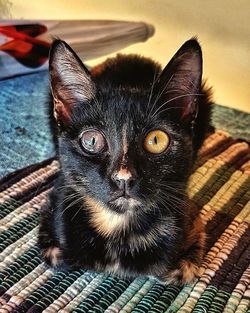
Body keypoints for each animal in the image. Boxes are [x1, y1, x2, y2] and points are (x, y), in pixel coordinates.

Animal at [38, 37, 212, 284]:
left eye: (156, 140)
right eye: (91, 140)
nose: (124, 178)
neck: (117, 226)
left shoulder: (191, 215)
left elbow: (182, 268)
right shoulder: (56, 201)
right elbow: (57, 256)